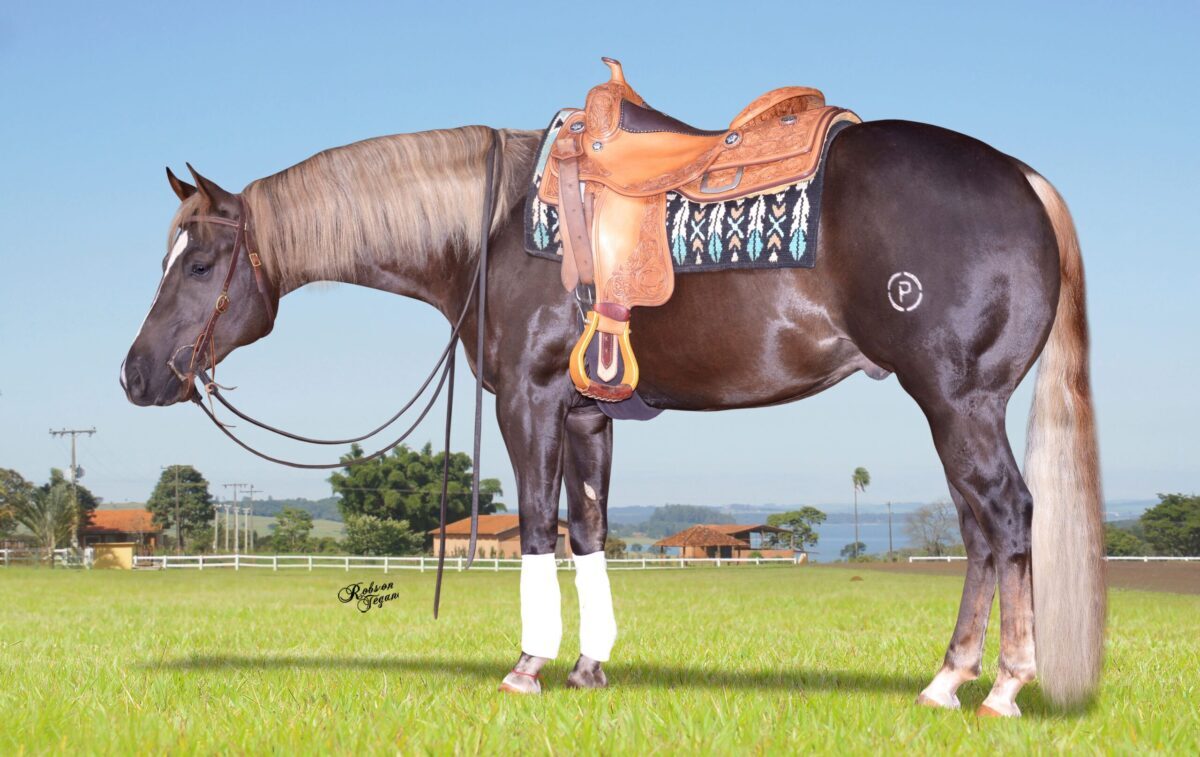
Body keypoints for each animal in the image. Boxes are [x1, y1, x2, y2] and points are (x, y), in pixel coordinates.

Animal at [121, 119, 1104, 716]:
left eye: (201, 263)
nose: (135, 373)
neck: (493, 227)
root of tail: (1023, 178)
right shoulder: (591, 415)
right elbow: (588, 530)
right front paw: (590, 667)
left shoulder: (528, 399)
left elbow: (534, 526)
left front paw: (526, 667)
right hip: (956, 407)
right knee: (980, 529)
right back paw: (950, 679)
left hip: (957, 399)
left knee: (1004, 515)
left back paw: (996, 685)